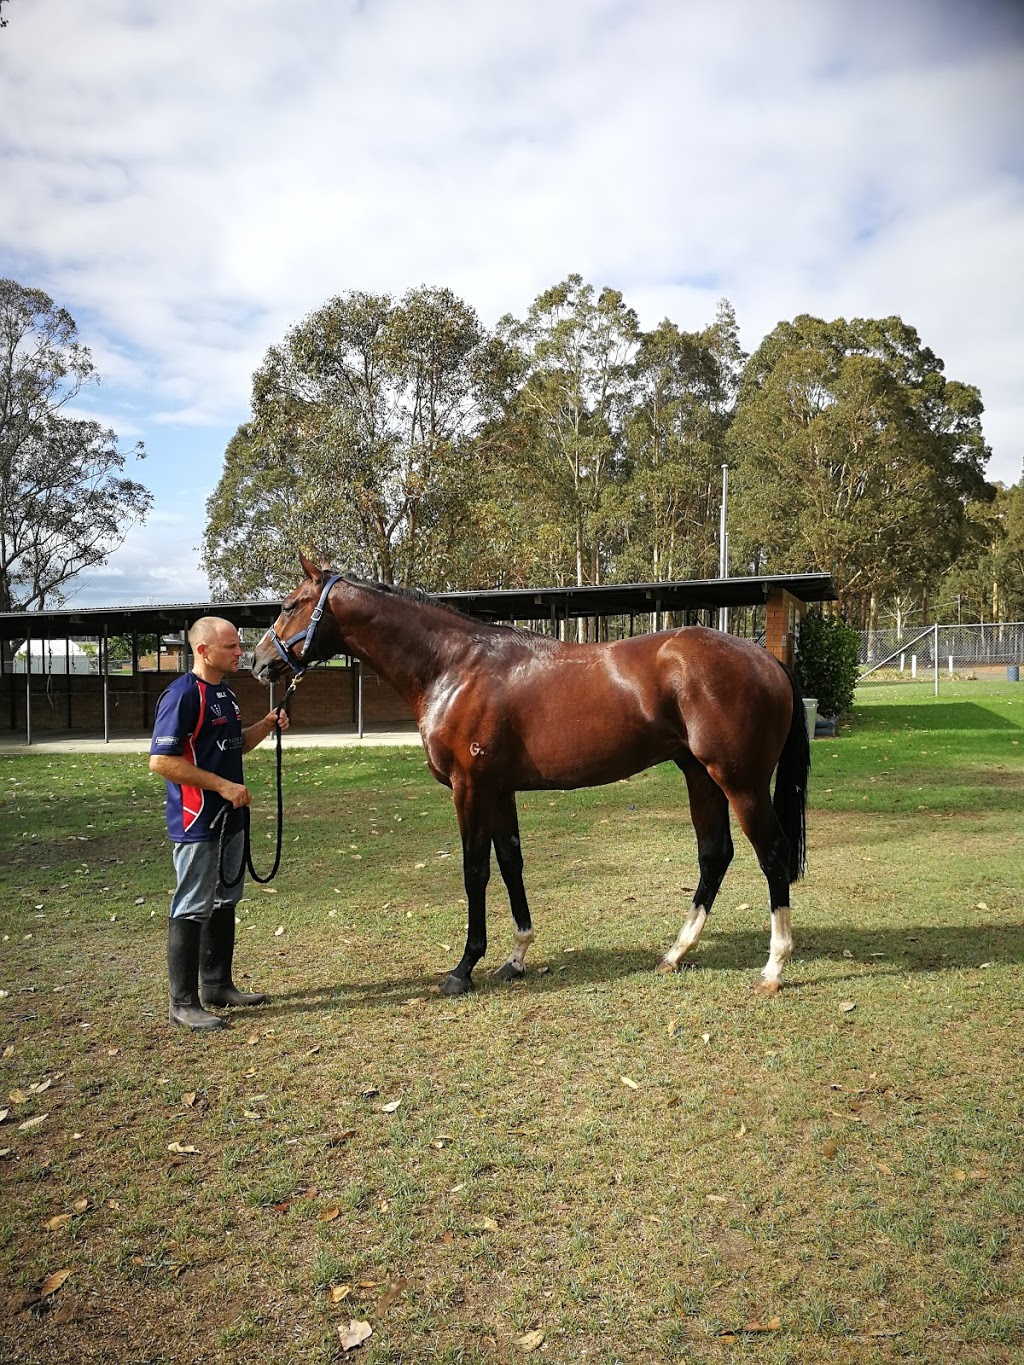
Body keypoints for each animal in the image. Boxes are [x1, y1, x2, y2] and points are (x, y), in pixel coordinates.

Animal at [248, 556, 808, 1004]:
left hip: (740, 782)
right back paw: (675, 952)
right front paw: (516, 956)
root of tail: (765, 657)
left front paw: (463, 969)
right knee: (715, 854)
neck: (455, 667)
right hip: (700, 777)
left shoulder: (470, 788)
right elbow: (510, 863)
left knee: (772, 853)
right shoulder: (499, 791)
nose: (258, 661)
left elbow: (475, 871)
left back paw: (773, 967)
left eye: (290, 605)